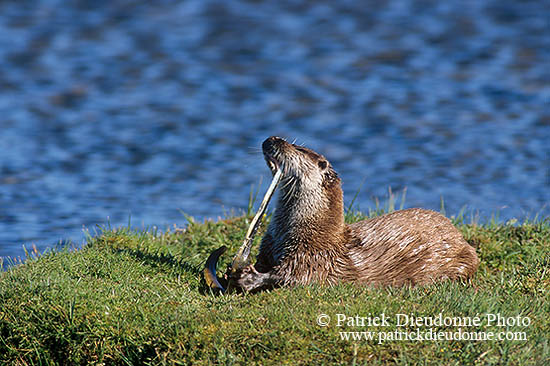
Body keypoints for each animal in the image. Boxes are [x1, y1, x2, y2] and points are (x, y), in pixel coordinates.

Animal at [226, 136, 480, 294]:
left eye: (298, 148)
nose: (271, 139)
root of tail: (461, 239)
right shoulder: (269, 245)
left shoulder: (311, 257)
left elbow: (291, 277)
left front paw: (250, 278)